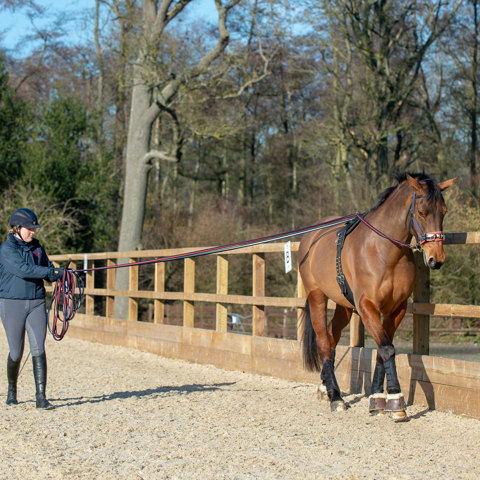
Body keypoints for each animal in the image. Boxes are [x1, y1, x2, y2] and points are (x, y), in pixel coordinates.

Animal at [298, 173, 456, 420]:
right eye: (422, 212)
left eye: (444, 211)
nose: (436, 259)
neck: (384, 252)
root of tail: (310, 236)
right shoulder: (367, 307)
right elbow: (387, 348)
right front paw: (396, 400)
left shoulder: (396, 309)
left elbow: (384, 349)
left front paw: (377, 398)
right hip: (317, 298)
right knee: (323, 342)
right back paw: (336, 397)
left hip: (344, 306)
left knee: (332, 337)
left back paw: (325, 387)